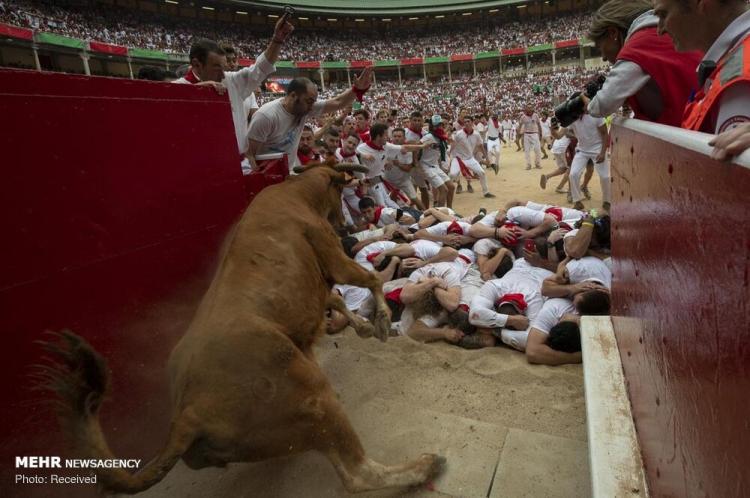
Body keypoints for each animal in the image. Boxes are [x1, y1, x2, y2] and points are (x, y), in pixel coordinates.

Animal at [39, 162, 446, 494]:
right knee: (357, 473)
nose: (346, 222)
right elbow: (369, 279)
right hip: (315, 399)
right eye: (338, 190)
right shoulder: (332, 255)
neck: (297, 193)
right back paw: (425, 465)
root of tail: (187, 413)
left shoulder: (317, 287)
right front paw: (379, 322)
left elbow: (336, 300)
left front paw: (363, 326)